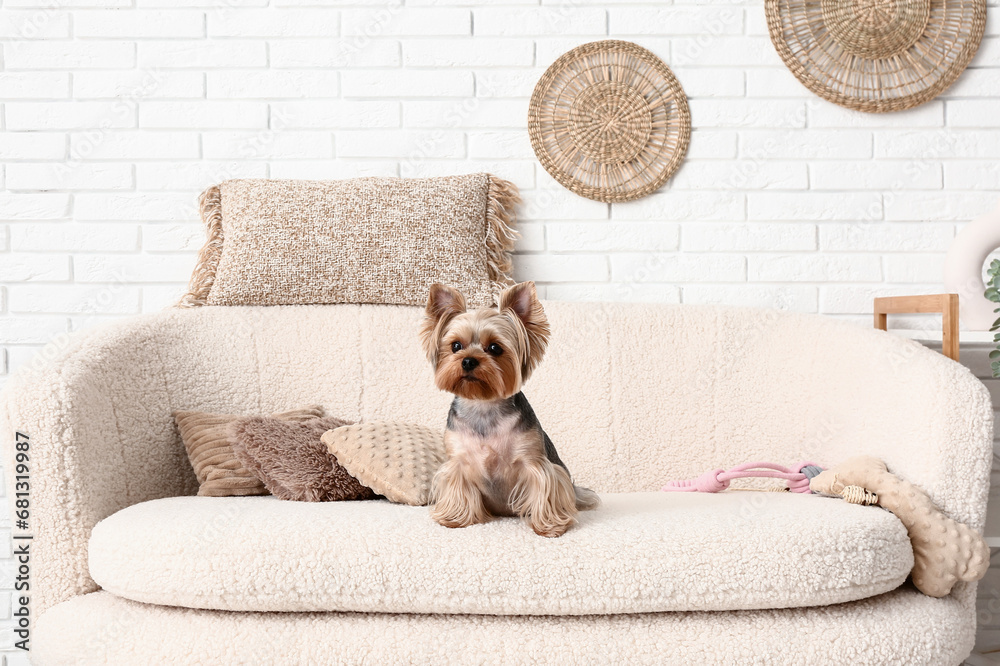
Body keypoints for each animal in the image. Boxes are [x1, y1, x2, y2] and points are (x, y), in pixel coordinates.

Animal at [420, 278, 596, 536]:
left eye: (495, 348)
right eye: (456, 346)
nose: (468, 360)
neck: (484, 405)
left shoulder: (534, 461)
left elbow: (543, 488)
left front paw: (549, 526)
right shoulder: (458, 462)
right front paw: (455, 518)